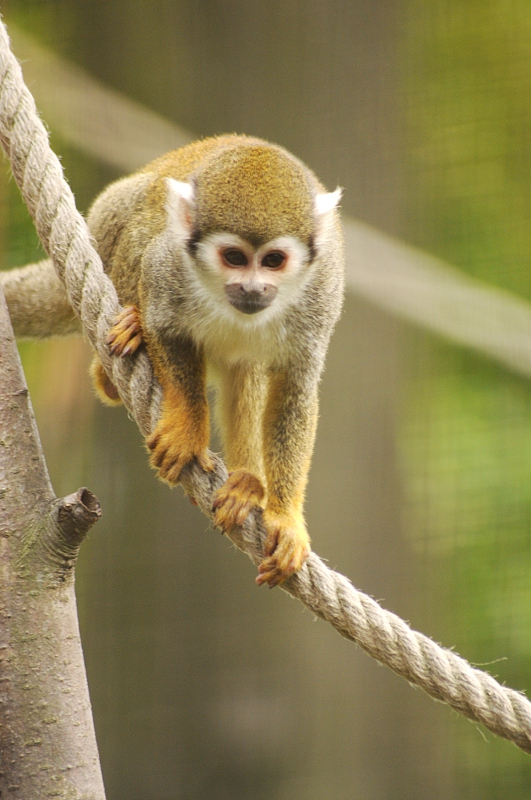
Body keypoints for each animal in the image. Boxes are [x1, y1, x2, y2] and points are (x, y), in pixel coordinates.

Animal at [1, 134, 344, 587]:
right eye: (234, 258)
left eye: (274, 261)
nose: (252, 289)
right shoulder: (170, 265)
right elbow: (165, 320)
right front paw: (187, 429)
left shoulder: (322, 290)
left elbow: (295, 389)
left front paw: (285, 518)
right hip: (107, 230)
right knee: (139, 210)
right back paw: (117, 356)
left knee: (247, 370)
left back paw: (248, 484)